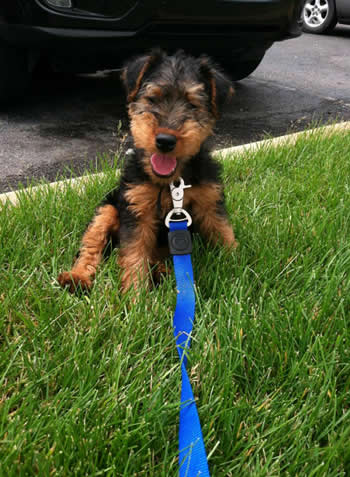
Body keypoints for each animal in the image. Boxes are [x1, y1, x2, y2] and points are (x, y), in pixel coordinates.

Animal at [58, 49, 238, 294]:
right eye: (152, 98)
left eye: (192, 105)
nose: (165, 141)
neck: (172, 182)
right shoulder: (137, 210)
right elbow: (134, 256)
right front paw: (135, 297)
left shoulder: (210, 203)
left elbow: (224, 234)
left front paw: (240, 270)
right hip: (107, 210)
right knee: (90, 248)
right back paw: (77, 277)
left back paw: (162, 271)